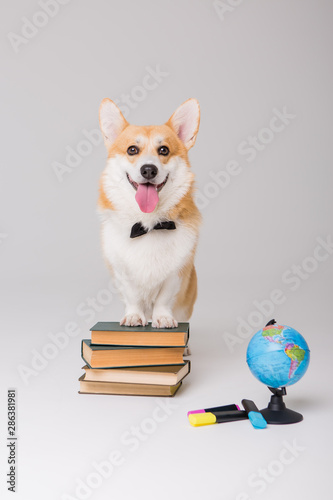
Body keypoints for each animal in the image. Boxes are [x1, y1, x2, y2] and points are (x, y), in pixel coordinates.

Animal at [97, 97, 201, 328]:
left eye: (163, 150)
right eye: (132, 150)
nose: (148, 170)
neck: (148, 224)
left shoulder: (176, 273)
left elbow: (164, 297)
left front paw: (163, 318)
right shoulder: (123, 273)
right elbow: (133, 296)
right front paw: (134, 316)